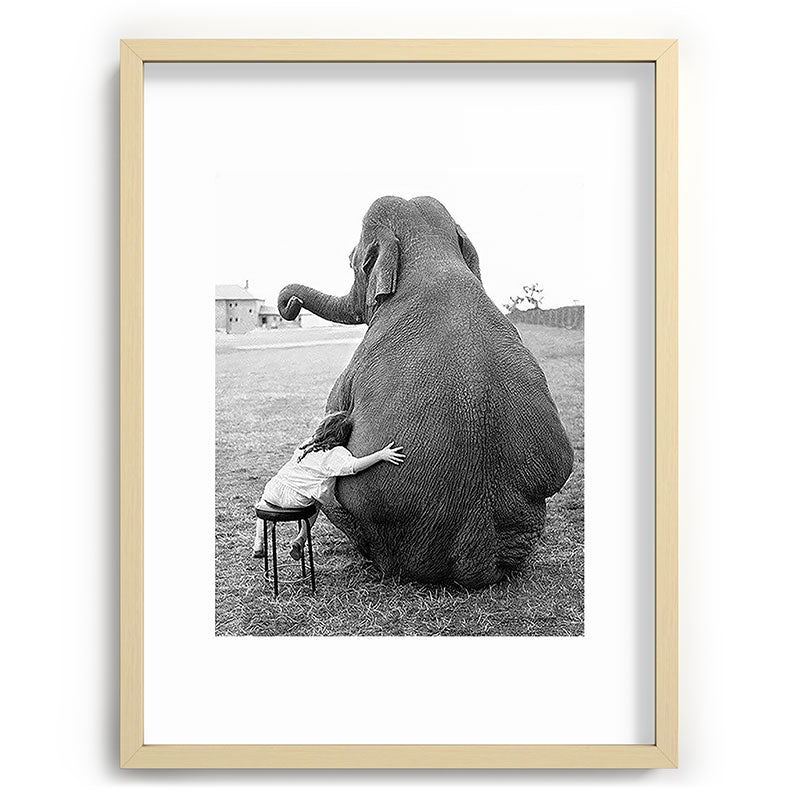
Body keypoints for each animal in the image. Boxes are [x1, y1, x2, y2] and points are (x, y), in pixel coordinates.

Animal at [278, 196, 573, 588]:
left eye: (352, 259)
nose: (290, 305)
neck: (431, 254)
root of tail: (476, 558)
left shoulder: (352, 369)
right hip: (527, 523)